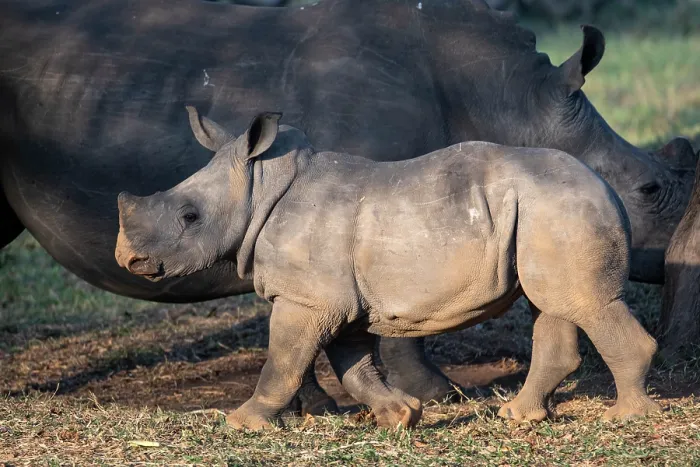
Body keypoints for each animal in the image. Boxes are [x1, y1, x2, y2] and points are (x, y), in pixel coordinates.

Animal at [115, 109, 661, 429]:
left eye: (189, 217)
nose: (128, 260)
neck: (260, 184)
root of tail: (608, 190)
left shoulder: (308, 298)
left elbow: (284, 361)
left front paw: (241, 423)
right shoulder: (338, 299)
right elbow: (352, 366)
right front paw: (401, 416)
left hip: (561, 208)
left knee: (583, 303)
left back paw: (625, 418)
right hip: (547, 211)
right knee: (552, 302)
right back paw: (518, 417)